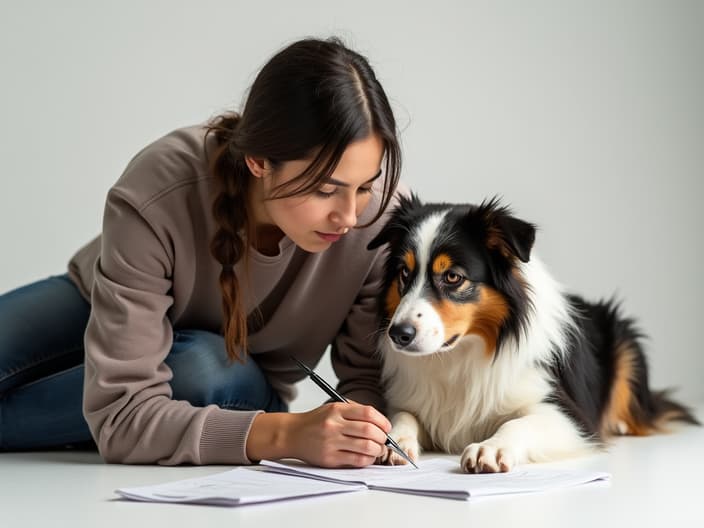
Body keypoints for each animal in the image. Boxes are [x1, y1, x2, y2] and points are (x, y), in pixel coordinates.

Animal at [368, 195, 700, 474]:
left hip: (624, 342)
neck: (461, 354)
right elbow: (403, 416)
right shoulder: (411, 400)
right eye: (404, 273)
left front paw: (490, 448)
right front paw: (394, 440)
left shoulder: (568, 415)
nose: (398, 334)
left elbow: (519, 424)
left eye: (452, 277)